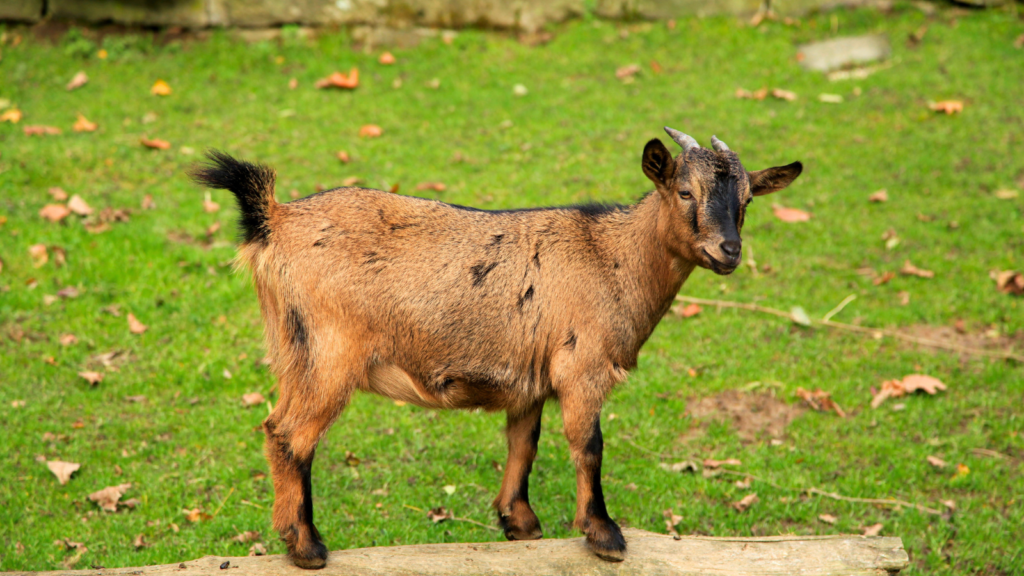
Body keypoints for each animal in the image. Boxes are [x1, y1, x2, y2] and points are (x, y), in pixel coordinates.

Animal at [190, 129, 798, 565]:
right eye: (685, 191)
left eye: (748, 199)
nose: (729, 250)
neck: (612, 256)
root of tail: (275, 218)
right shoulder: (582, 366)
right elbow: (588, 444)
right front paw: (604, 535)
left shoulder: (530, 377)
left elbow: (523, 443)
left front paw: (518, 522)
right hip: (331, 353)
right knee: (293, 435)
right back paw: (307, 546)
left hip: (291, 349)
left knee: (275, 427)